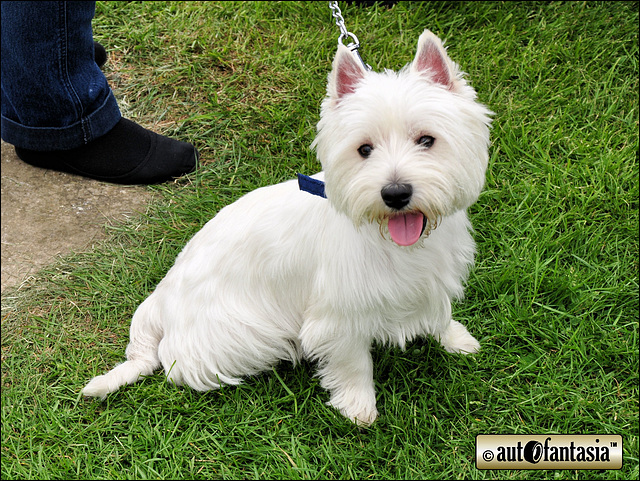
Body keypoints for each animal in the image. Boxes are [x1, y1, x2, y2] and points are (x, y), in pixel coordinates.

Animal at [82, 30, 492, 424]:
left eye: (427, 140)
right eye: (364, 149)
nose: (395, 193)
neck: (394, 241)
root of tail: (160, 299)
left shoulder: (431, 279)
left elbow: (440, 314)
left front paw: (456, 339)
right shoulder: (338, 314)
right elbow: (353, 361)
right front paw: (359, 406)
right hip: (247, 336)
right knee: (177, 365)